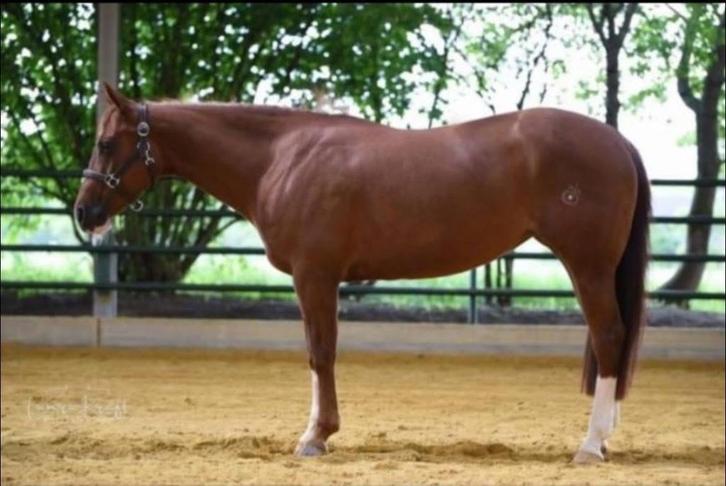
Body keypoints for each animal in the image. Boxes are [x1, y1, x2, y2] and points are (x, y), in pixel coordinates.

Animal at [75, 83, 650, 464]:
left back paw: (590, 444)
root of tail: (617, 142)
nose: (85, 212)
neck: (282, 158)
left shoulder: (315, 276)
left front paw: (315, 437)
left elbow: (321, 353)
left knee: (609, 334)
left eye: (105, 143)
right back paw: (606, 434)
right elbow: (318, 354)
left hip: (587, 264)